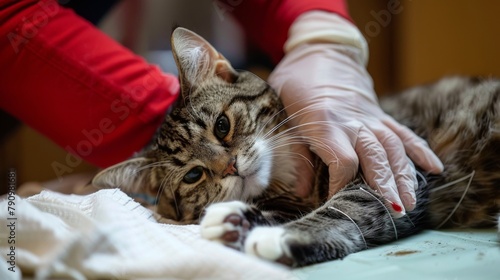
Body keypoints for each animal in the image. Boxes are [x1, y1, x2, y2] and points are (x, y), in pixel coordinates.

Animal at [92, 27, 498, 266]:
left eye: (222, 125)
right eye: (193, 175)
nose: (230, 167)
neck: (288, 178)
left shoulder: (399, 171)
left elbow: (344, 208)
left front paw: (284, 236)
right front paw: (236, 221)